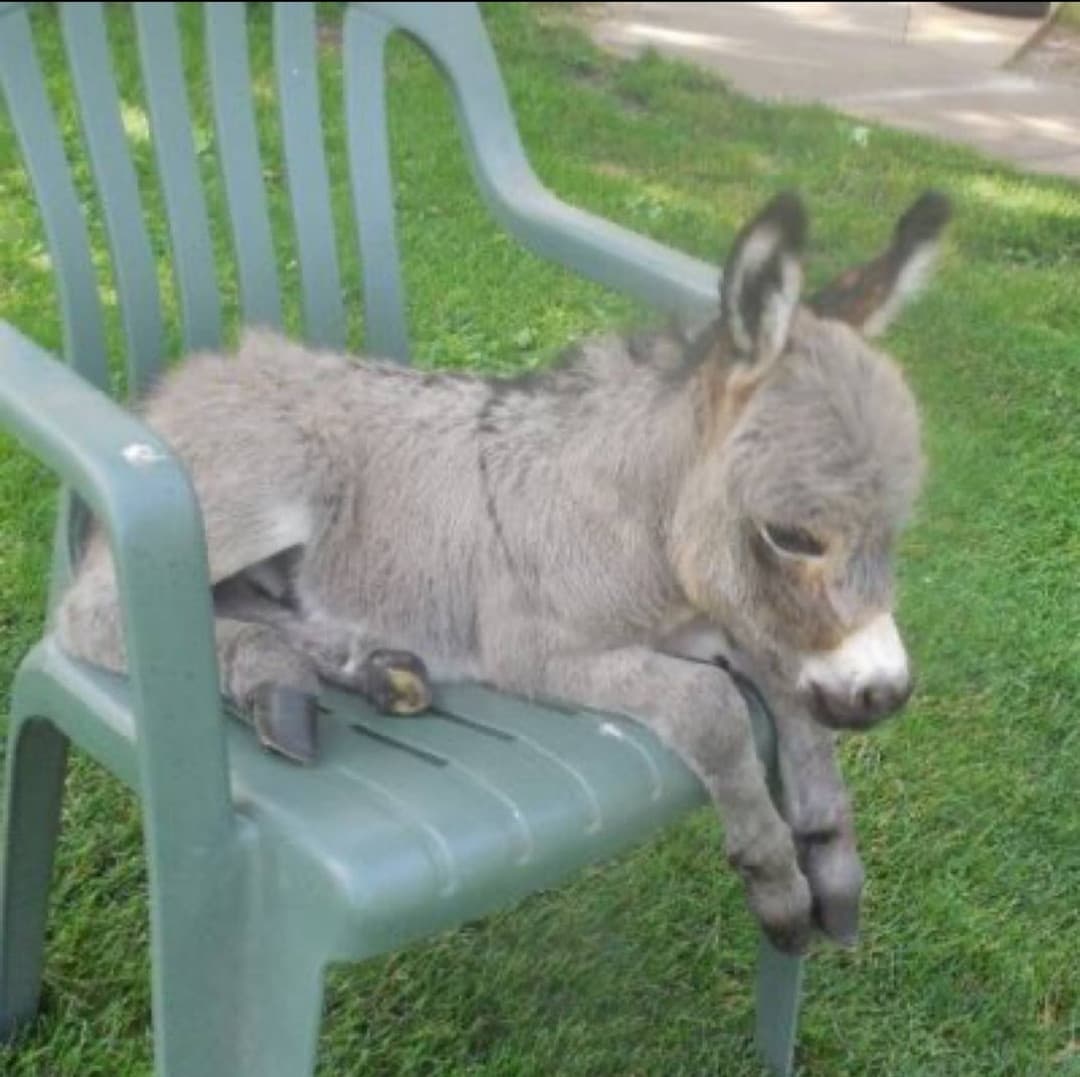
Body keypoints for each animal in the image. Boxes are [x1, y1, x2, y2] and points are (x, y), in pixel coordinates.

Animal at [61, 191, 954, 950]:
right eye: (792, 535)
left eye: (894, 531)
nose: (885, 694)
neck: (643, 538)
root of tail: (182, 381)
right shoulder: (538, 649)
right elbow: (712, 706)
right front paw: (775, 877)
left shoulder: (729, 622)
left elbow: (787, 689)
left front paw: (830, 853)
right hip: (264, 486)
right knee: (88, 616)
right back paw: (276, 675)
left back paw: (365, 666)